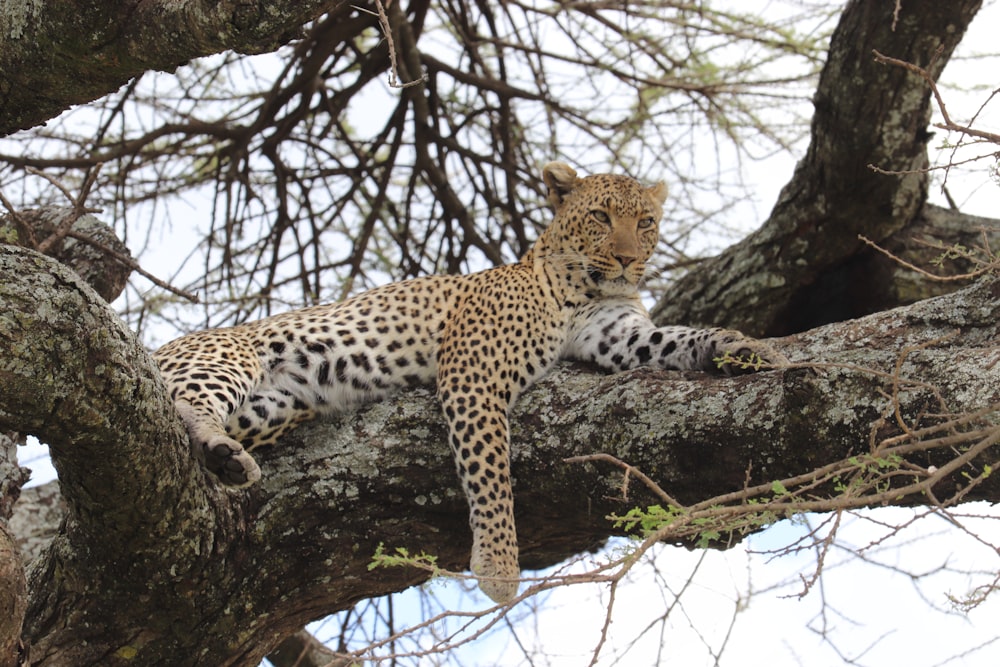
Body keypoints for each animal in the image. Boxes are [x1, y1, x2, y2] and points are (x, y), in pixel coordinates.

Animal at [152, 162, 784, 604]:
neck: (579, 288)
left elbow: (677, 338)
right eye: (602, 218)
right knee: (183, 400)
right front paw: (501, 568)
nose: (629, 260)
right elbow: (491, 474)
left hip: (276, 404)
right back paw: (220, 450)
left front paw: (741, 346)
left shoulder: (620, 336)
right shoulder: (472, 375)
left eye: (645, 222)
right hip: (225, 358)